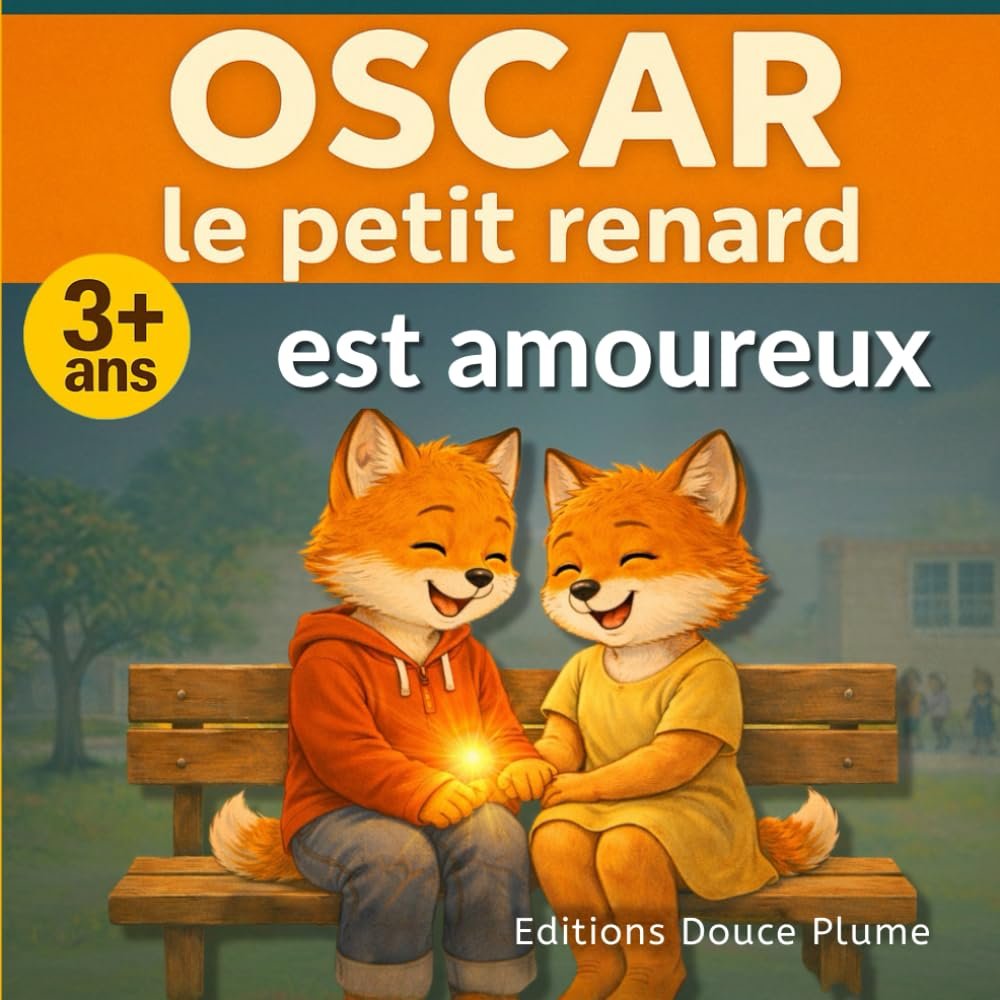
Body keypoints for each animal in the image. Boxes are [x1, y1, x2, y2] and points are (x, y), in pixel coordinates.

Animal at [210, 409, 550, 1000]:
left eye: (495, 552)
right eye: (432, 545)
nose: (482, 577)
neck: (413, 650)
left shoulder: (484, 683)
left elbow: (503, 731)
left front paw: (525, 771)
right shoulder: (329, 684)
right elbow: (354, 748)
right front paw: (442, 794)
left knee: (488, 852)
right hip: (352, 846)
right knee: (397, 869)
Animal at [529, 430, 838, 1000]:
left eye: (634, 556)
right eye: (568, 568)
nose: (583, 590)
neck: (638, 656)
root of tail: (759, 859)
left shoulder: (708, 687)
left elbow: (665, 755)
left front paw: (568, 786)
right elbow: (561, 745)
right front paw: (530, 770)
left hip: (674, 850)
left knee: (626, 847)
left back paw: (653, 981)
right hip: (568, 841)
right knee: (560, 839)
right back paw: (597, 978)